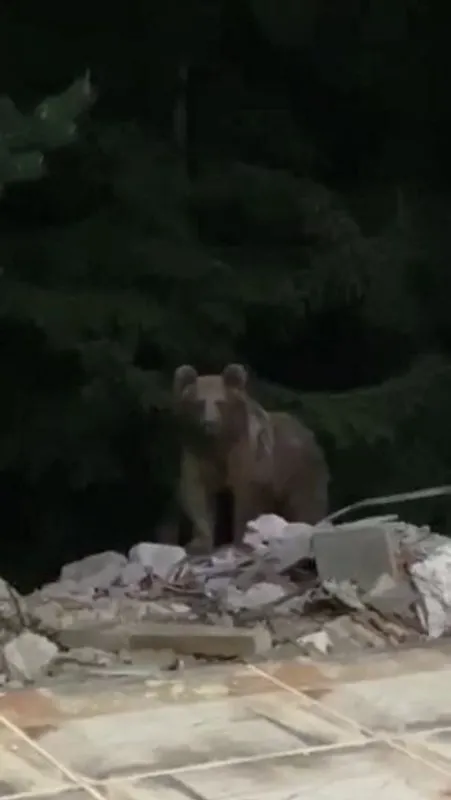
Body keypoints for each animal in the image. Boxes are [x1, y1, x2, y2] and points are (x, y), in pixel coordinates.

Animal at [173, 366, 328, 552]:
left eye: (220, 402)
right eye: (199, 403)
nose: (209, 423)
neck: (219, 443)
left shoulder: (246, 454)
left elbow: (246, 495)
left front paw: (242, 539)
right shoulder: (197, 451)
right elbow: (196, 492)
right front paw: (198, 543)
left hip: (298, 469)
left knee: (305, 503)